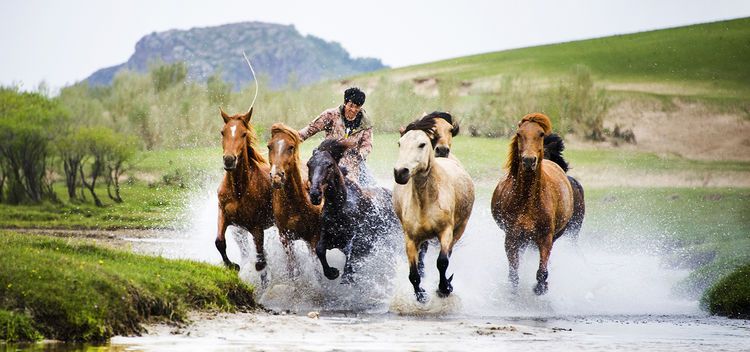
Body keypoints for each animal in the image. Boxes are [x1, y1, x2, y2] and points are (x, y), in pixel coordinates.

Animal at [216, 107, 274, 272]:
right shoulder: (223, 214)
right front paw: (232, 265)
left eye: (243, 133)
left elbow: (261, 260)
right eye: (223, 132)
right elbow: (219, 241)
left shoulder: (256, 227)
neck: (239, 190)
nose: (229, 160)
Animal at [268, 122, 322, 274]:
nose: (276, 177)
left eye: (291, 147)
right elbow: (292, 267)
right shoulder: (285, 238)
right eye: (269, 146)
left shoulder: (314, 237)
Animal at [306, 138, 402, 284]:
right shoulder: (329, 236)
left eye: (329, 165)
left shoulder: (358, 241)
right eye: (308, 164)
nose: (315, 194)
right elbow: (320, 249)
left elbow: (350, 257)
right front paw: (332, 272)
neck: (339, 208)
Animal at [394, 116, 476, 302]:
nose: (400, 172)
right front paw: (421, 296)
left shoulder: (446, 231)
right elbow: (413, 274)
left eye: (422, 144)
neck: (426, 200)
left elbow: (442, 262)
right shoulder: (410, 238)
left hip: (460, 229)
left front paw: (444, 288)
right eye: (400, 143)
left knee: (449, 253)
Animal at [494, 113, 588, 294]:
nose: (529, 160)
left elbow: (542, 272)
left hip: (568, 233)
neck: (527, 202)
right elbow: (514, 273)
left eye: (541, 134)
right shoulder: (512, 237)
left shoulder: (545, 237)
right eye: (519, 134)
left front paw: (540, 288)